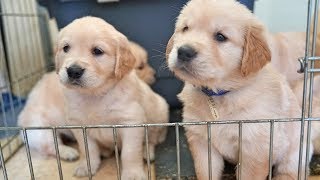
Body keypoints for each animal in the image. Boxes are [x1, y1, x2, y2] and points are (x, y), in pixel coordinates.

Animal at [56, 16, 169, 177]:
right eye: (66, 48)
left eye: (97, 51)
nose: (73, 71)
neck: (95, 93)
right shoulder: (78, 125)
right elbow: (87, 150)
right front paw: (86, 166)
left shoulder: (131, 122)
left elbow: (129, 153)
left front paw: (132, 174)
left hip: (159, 114)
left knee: (153, 139)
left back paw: (147, 153)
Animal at [168, 0, 310, 179]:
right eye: (185, 28)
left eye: (220, 37)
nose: (184, 51)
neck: (219, 94)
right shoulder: (201, 140)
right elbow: (205, 171)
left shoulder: (255, 148)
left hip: (297, 151)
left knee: (290, 171)